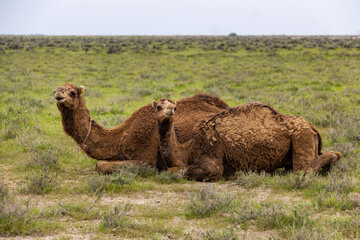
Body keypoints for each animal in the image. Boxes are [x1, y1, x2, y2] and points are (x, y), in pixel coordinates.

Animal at [53, 84, 228, 172]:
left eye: (73, 92)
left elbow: (100, 165)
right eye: (55, 90)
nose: (58, 95)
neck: (121, 137)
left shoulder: (146, 158)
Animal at [153, 98, 344, 181]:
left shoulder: (211, 157)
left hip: (300, 137)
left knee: (304, 169)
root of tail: (312, 127)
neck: (188, 149)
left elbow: (176, 171)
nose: (169, 111)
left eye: (174, 107)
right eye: (158, 106)